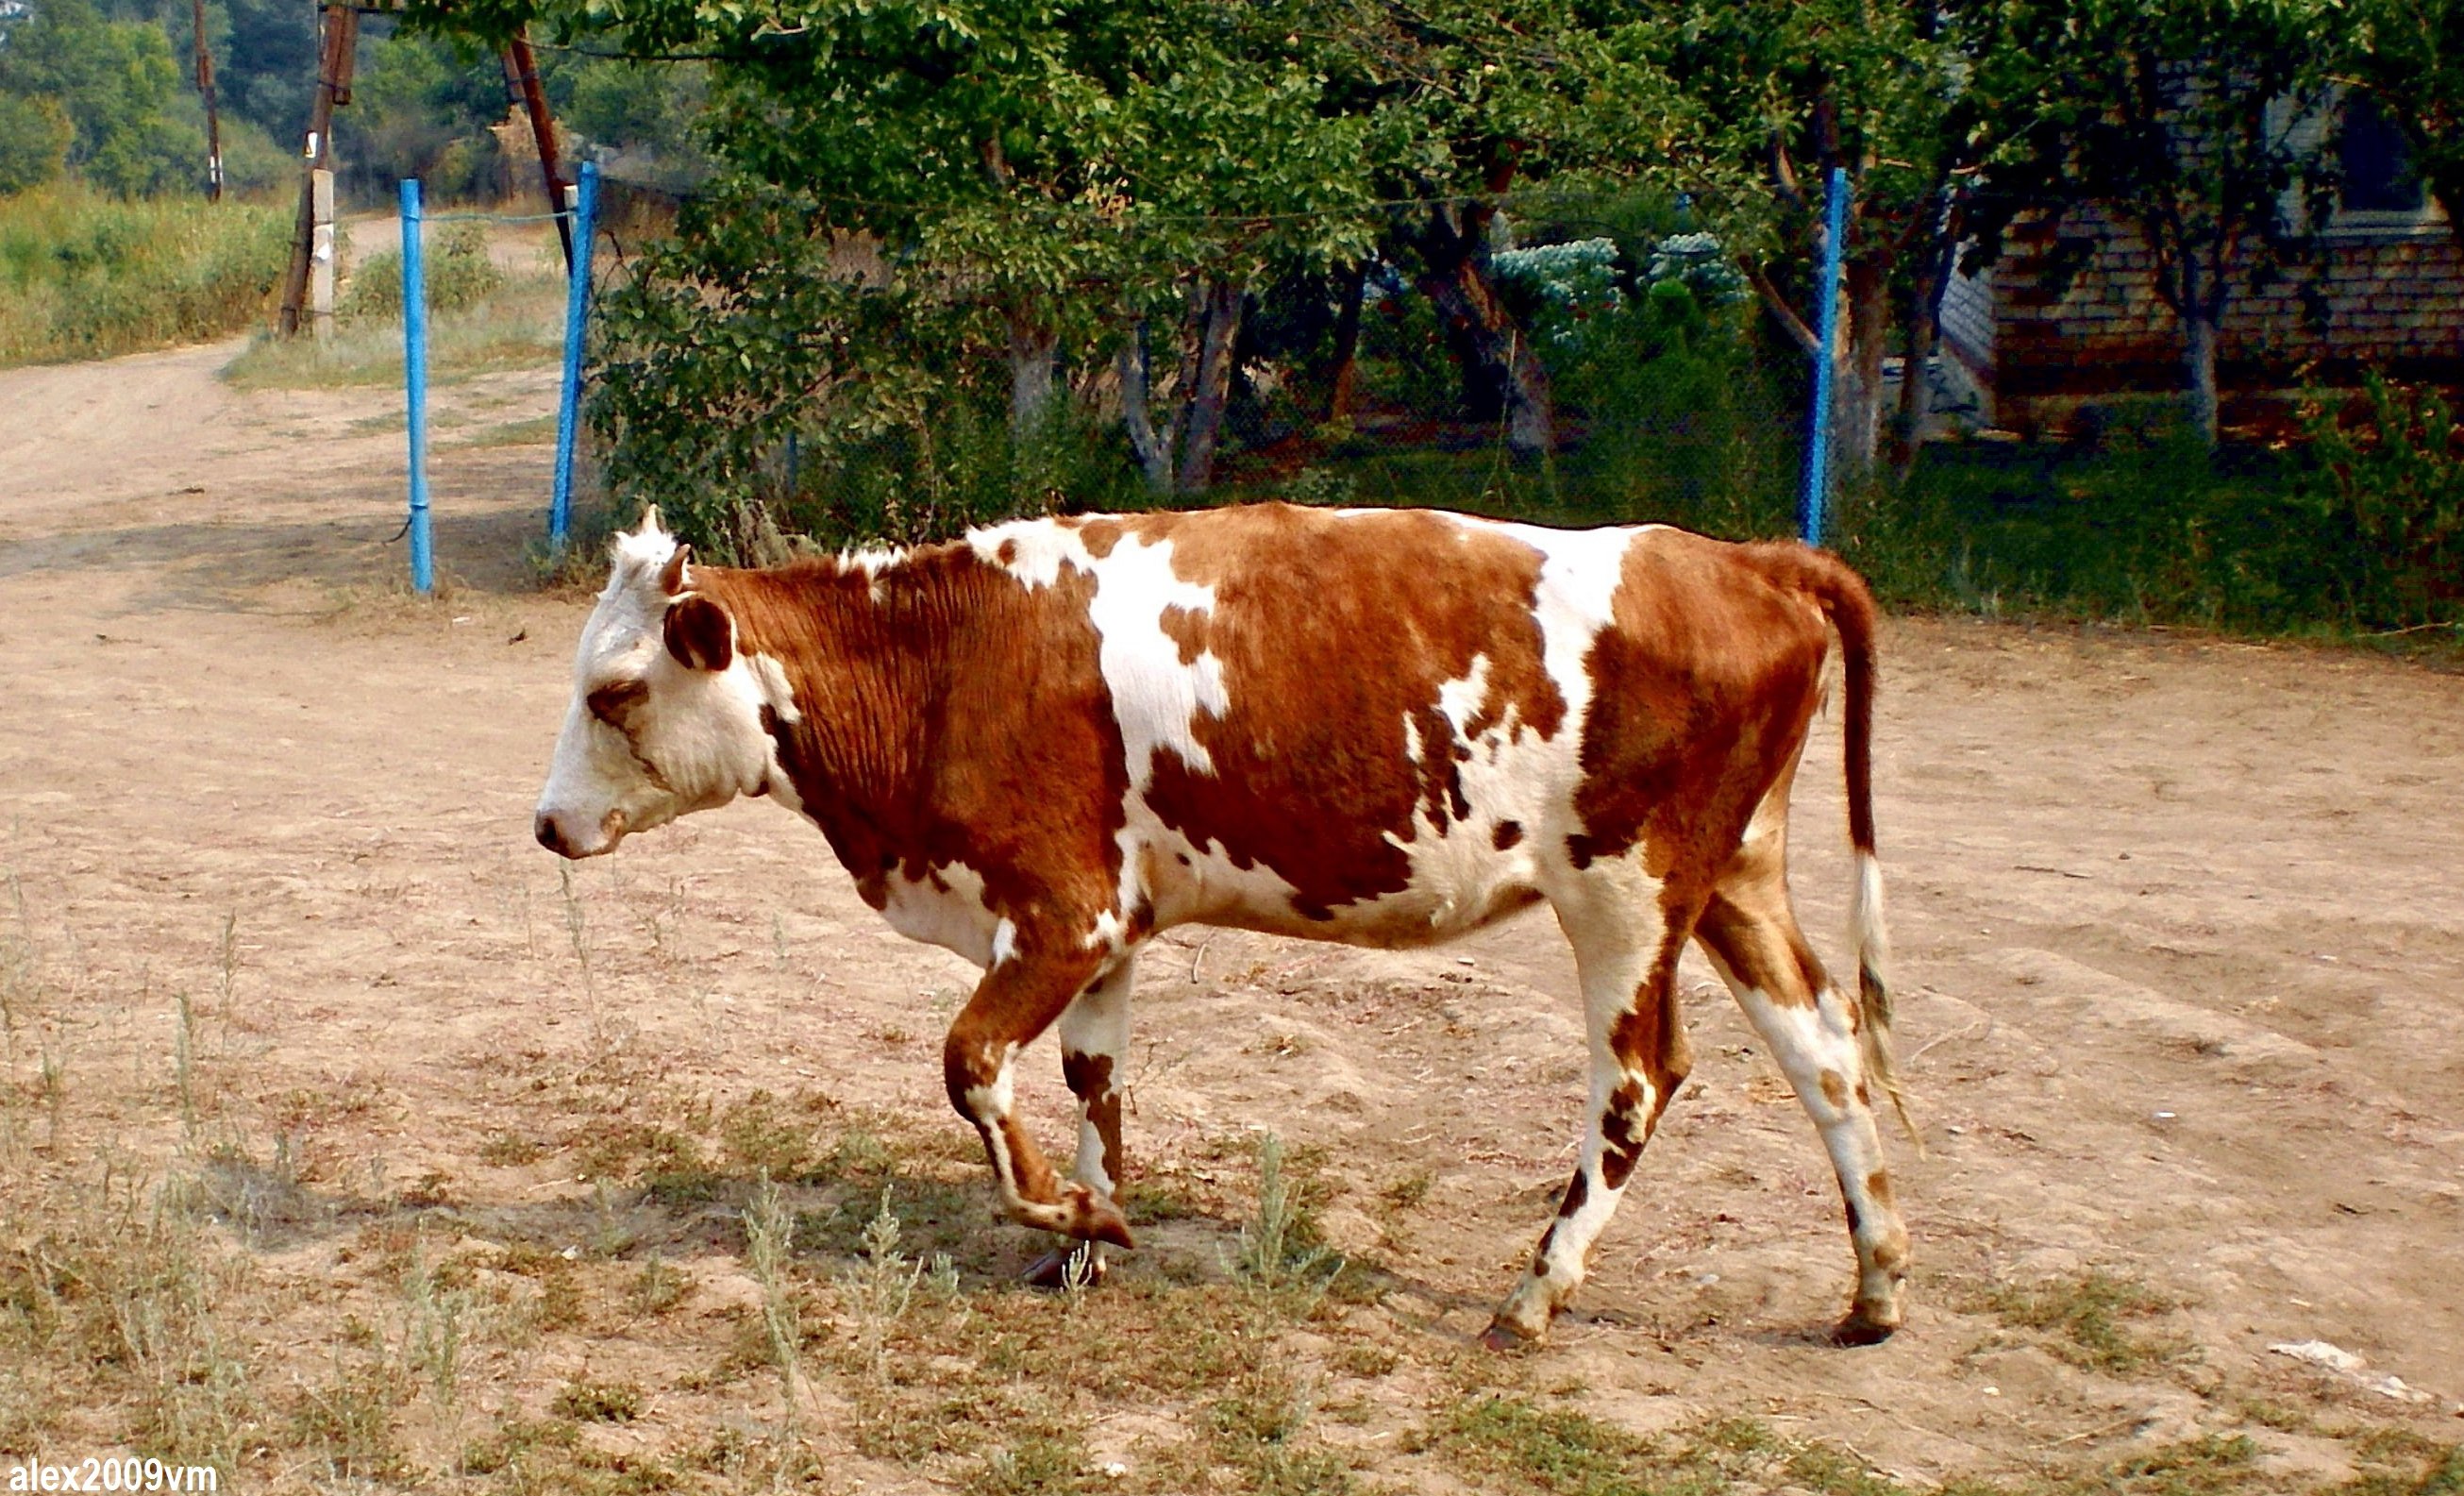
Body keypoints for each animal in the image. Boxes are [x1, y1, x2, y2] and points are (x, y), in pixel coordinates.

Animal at [534, 500, 1921, 1350]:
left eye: (614, 690)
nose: (547, 824)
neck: (948, 659)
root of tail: (1746, 560)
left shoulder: (1060, 915)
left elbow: (969, 1065)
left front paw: (1064, 1215)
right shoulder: (1106, 931)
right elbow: (1093, 1081)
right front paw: (1086, 1237)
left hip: (1627, 895)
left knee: (1636, 1081)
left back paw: (1532, 1294)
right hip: (1736, 878)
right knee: (1827, 1052)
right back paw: (1873, 1287)